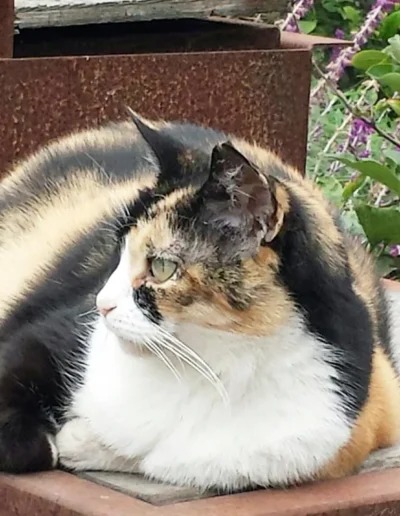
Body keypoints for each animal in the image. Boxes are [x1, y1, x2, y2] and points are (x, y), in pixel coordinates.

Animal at [0, 112, 398, 492]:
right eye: (118, 251)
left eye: (161, 267)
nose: (101, 304)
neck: (211, 367)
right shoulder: (48, 337)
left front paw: (81, 440)